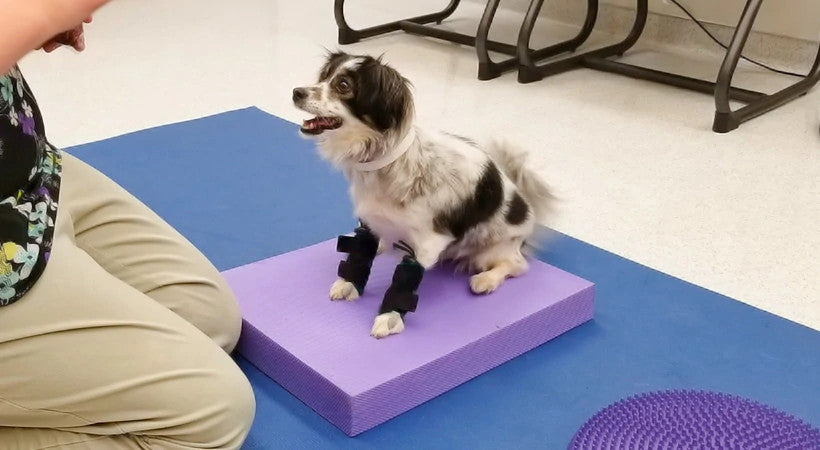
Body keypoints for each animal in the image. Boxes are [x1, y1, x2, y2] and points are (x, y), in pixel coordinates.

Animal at [292, 51, 556, 338]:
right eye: (324, 77)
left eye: (343, 86)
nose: (296, 92)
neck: (387, 165)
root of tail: (528, 211)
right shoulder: (369, 219)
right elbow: (361, 252)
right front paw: (349, 282)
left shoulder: (428, 243)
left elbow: (402, 283)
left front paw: (389, 317)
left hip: (493, 249)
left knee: (517, 265)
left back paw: (486, 279)